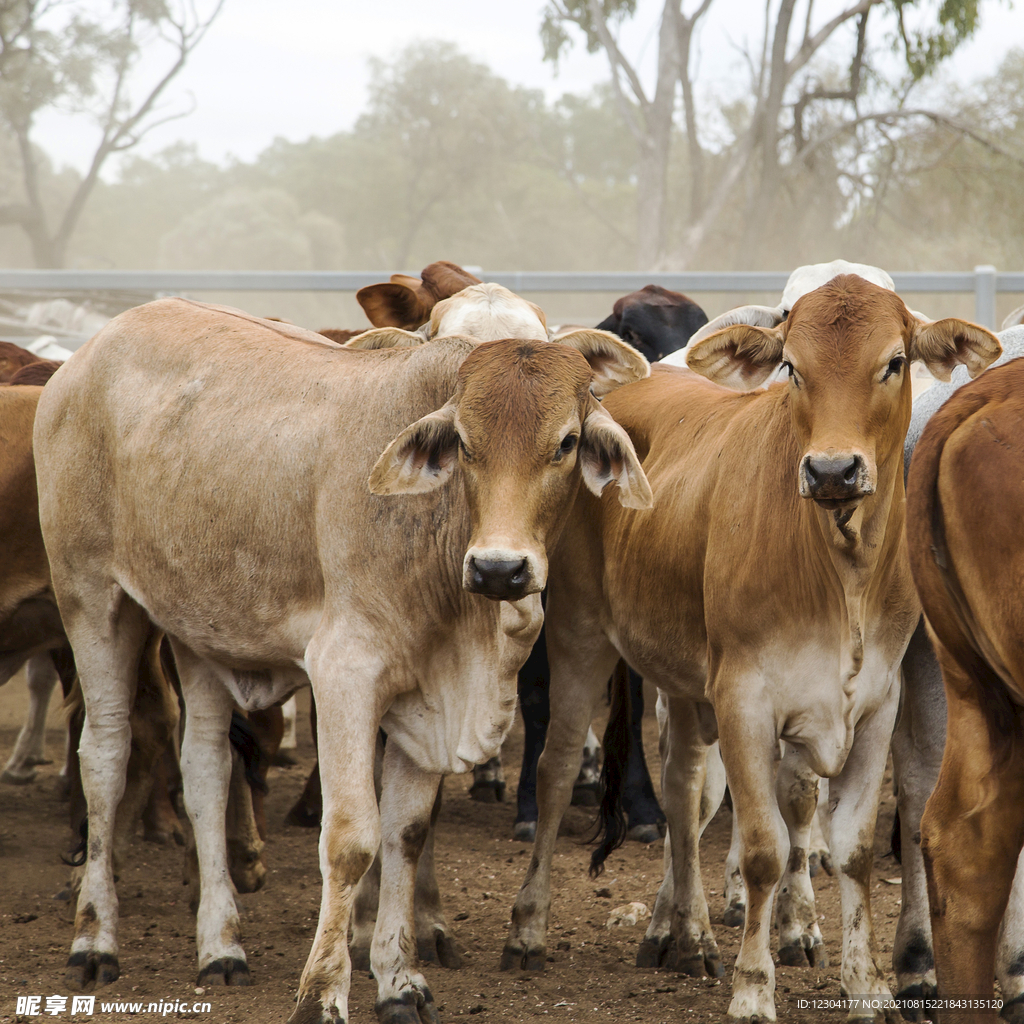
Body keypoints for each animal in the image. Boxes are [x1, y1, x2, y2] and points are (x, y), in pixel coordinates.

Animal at [36, 299, 651, 1024]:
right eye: (465, 444)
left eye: (565, 443)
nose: (500, 569)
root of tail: (90, 350)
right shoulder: (345, 675)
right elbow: (354, 839)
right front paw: (322, 992)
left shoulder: (425, 698)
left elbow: (405, 833)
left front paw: (399, 982)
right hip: (92, 597)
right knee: (104, 756)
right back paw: (94, 938)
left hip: (199, 629)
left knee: (206, 770)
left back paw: (221, 947)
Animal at [503, 268, 999, 1019]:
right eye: (792, 366)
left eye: (894, 361)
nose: (832, 471)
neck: (839, 573)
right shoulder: (744, 698)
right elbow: (766, 848)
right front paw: (753, 991)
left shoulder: (876, 705)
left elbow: (850, 849)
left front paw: (865, 987)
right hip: (580, 637)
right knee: (557, 769)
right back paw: (530, 930)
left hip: (680, 676)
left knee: (683, 791)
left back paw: (687, 937)